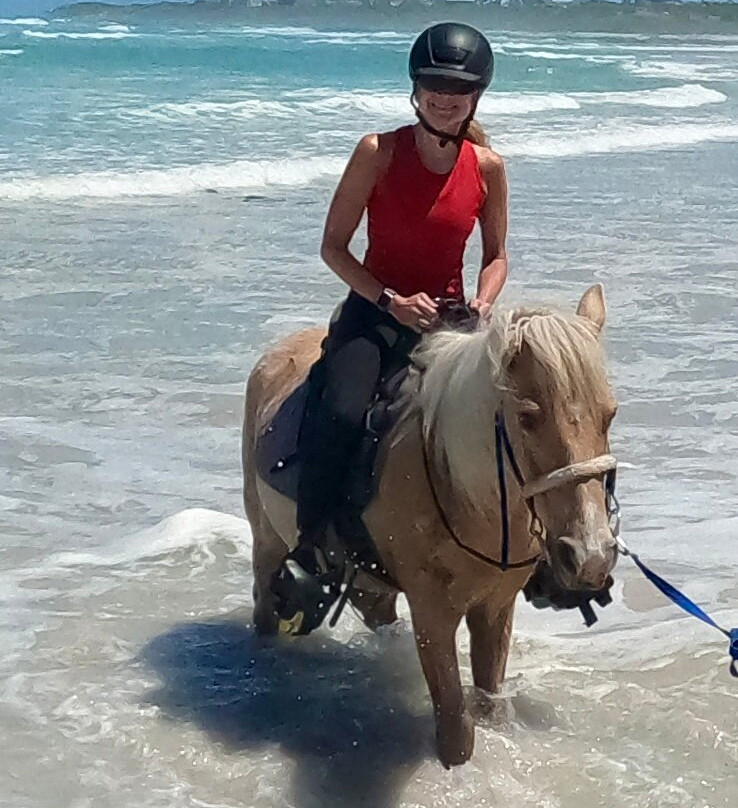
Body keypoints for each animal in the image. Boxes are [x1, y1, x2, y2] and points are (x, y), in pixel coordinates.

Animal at [242, 283, 618, 768]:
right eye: (529, 418)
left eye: (609, 415)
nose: (590, 555)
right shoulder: (432, 614)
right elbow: (456, 733)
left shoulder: (496, 608)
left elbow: (488, 704)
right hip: (266, 541)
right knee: (265, 604)